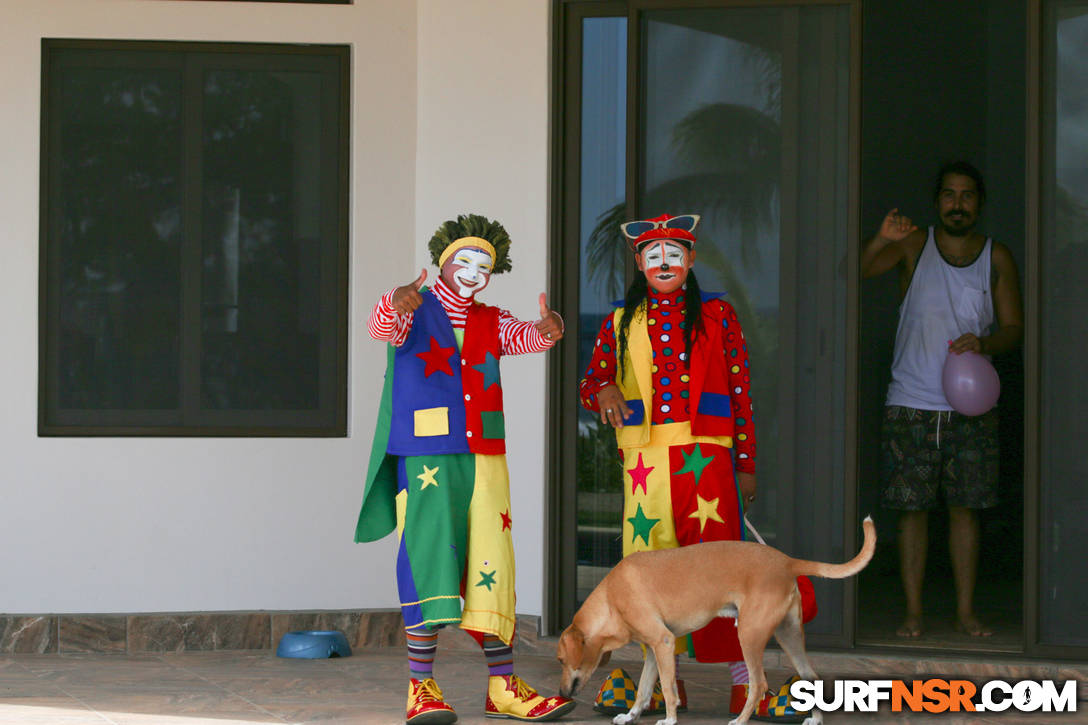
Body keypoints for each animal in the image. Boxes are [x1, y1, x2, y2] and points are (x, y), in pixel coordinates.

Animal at [557, 513, 879, 722]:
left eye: (561, 660)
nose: (560, 692)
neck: (612, 595)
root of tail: (787, 562)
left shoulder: (663, 641)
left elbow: (669, 691)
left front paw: (669, 719)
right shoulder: (654, 650)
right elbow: (645, 689)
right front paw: (630, 716)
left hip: (749, 635)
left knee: (758, 684)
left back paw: (739, 721)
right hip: (788, 636)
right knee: (811, 677)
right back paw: (814, 720)